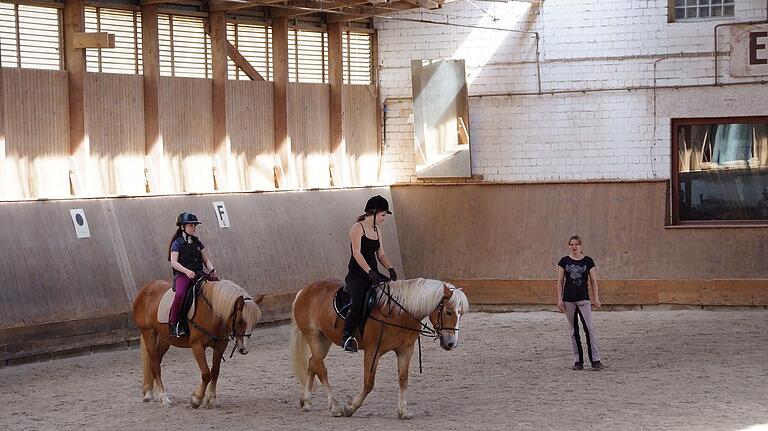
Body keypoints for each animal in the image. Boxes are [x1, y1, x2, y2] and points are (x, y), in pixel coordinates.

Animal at [132, 278, 264, 410]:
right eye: (240, 321)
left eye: (254, 322)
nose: (244, 349)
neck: (212, 312)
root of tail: (146, 289)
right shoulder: (197, 346)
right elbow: (206, 374)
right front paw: (196, 399)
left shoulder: (220, 346)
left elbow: (215, 372)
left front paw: (211, 400)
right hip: (148, 333)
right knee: (155, 365)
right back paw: (163, 399)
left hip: (165, 339)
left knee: (155, 362)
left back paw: (150, 393)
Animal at [288, 278, 468, 420]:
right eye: (449, 312)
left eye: (460, 313)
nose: (451, 343)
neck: (399, 312)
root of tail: (304, 291)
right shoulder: (372, 350)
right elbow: (369, 383)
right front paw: (350, 407)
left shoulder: (406, 350)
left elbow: (403, 379)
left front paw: (403, 411)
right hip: (314, 337)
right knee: (321, 368)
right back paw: (335, 406)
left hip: (324, 340)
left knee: (312, 363)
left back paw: (306, 402)